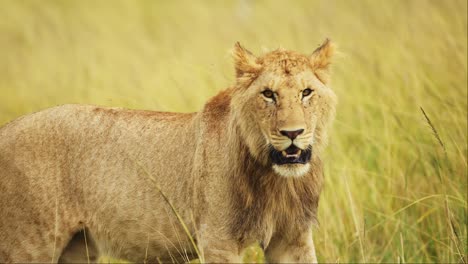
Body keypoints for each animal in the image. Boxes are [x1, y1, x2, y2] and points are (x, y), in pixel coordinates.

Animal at [0, 39, 336, 264]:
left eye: (306, 92)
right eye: (268, 94)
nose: (292, 134)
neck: (275, 179)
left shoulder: (292, 239)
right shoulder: (218, 240)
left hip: (76, 247)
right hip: (28, 244)